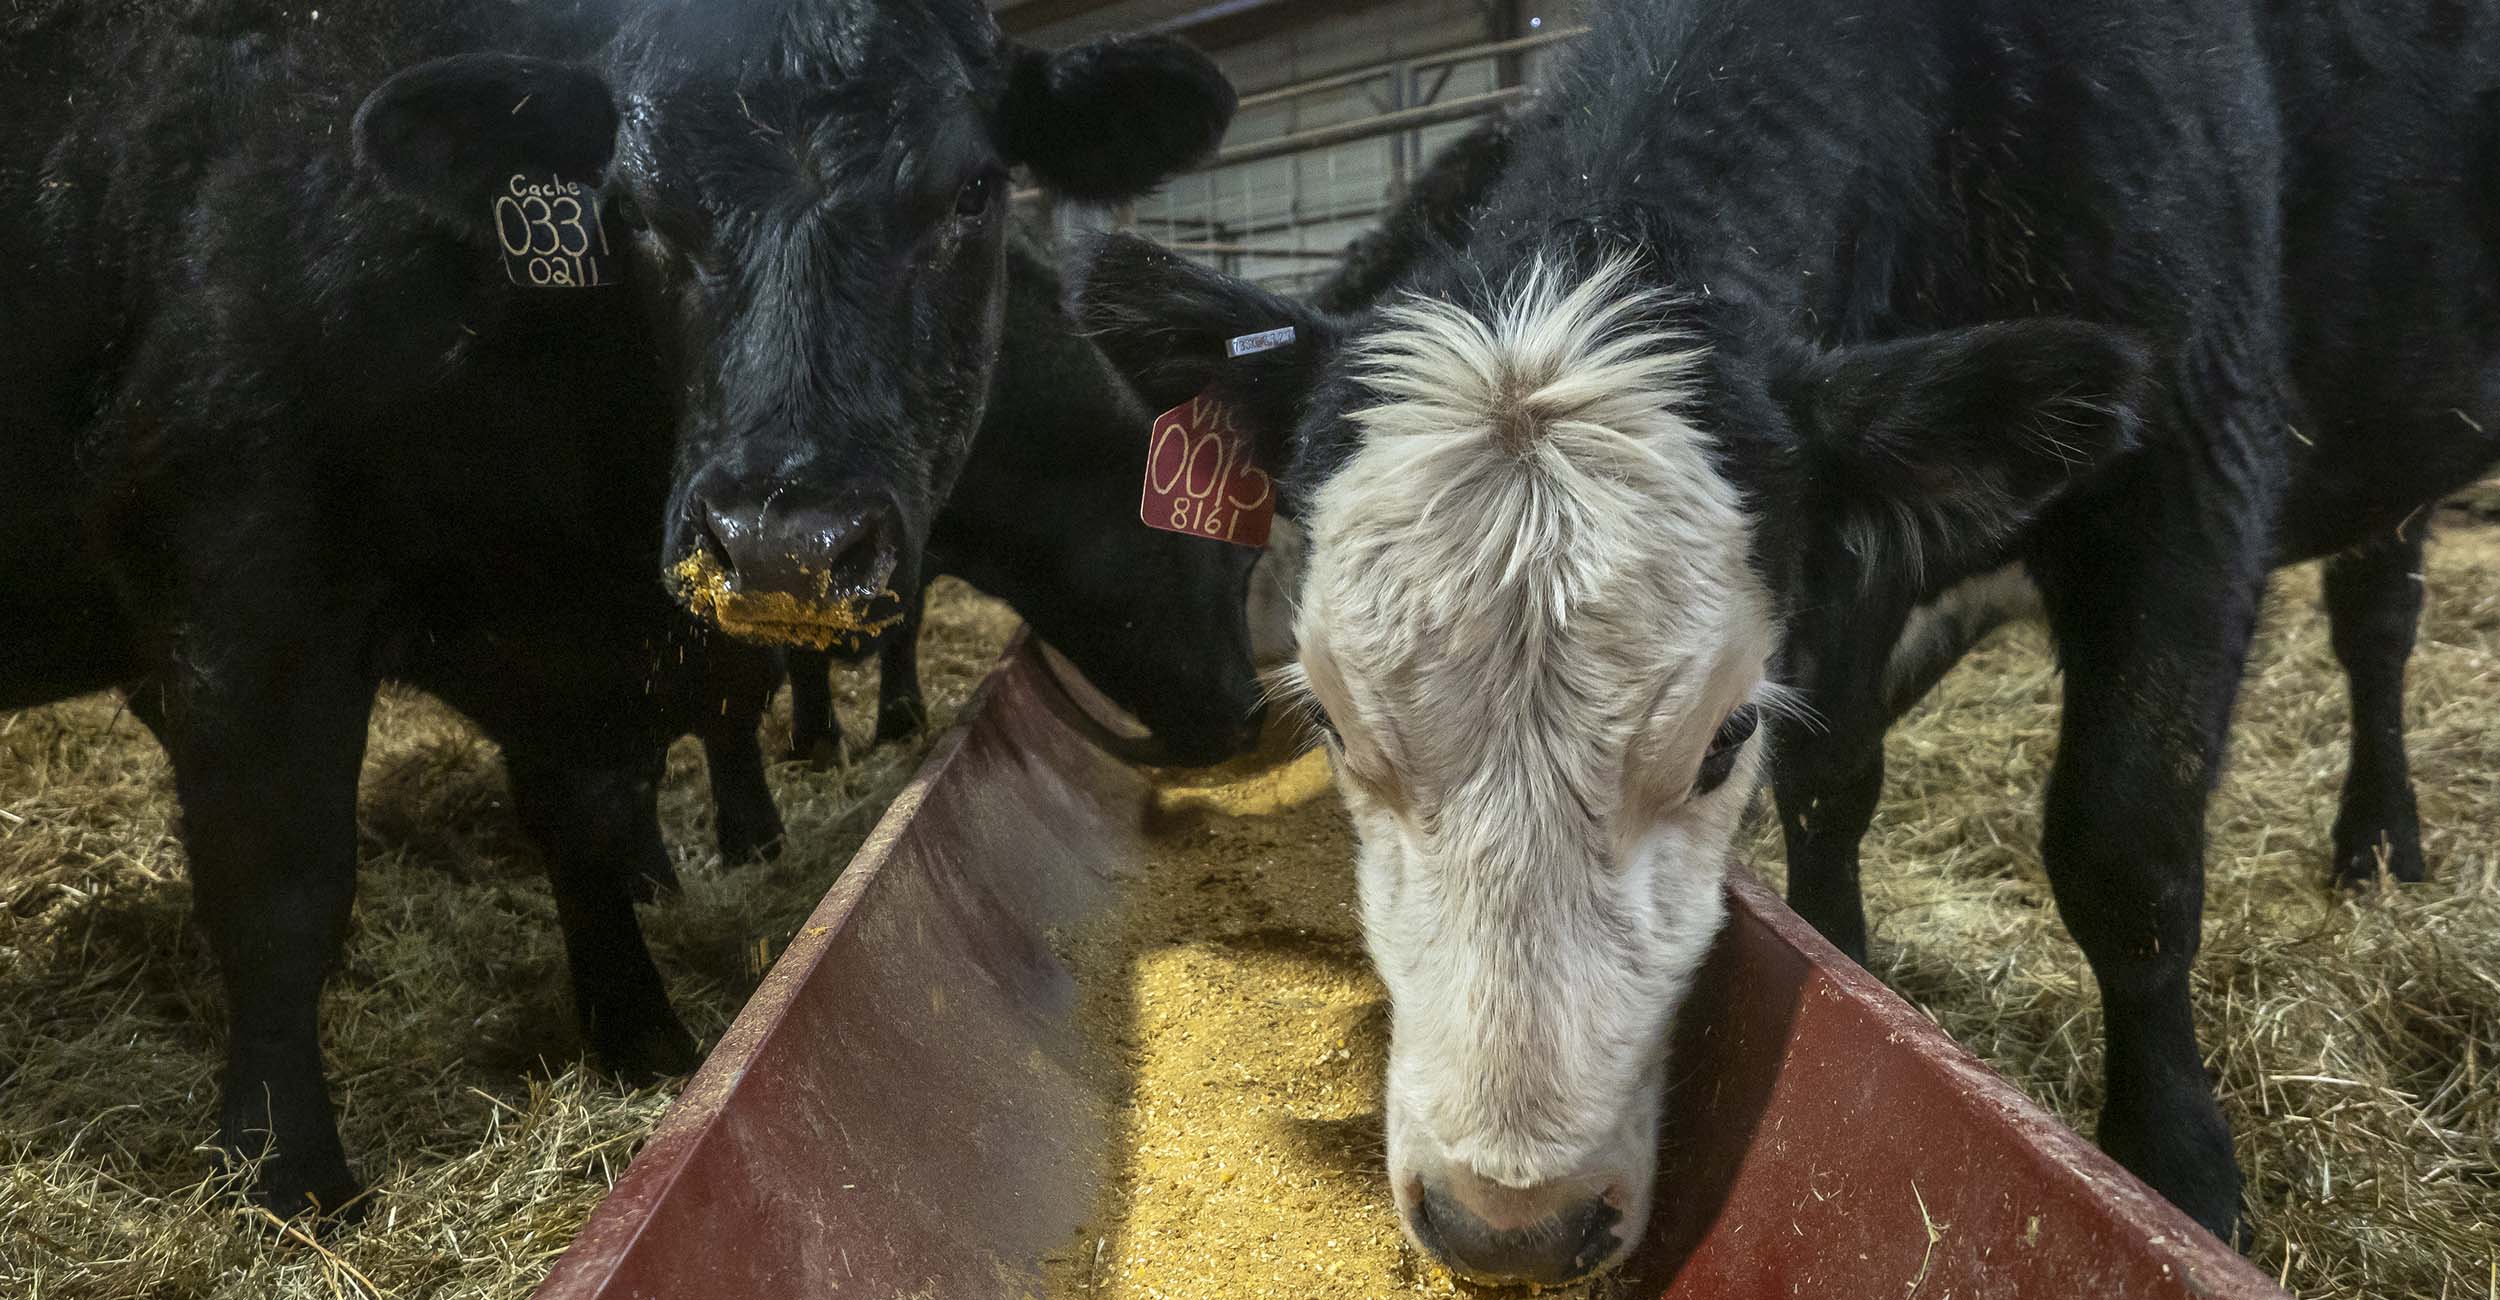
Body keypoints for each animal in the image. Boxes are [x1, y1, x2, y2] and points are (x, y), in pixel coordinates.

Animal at [0, 0, 1231, 1218]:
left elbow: (591, 819)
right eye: (632, 211)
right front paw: (285, 1170)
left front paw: (643, 1033)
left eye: (974, 189)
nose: (783, 540)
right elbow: (279, 885)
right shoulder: (244, 584)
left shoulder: (587, 645)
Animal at [1074, 0, 2500, 1282]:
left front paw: (2178, 1169)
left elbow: (2124, 843)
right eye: (1329, 721)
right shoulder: (1852, 557)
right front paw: (1854, 965)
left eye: (1720, 741)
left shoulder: (2193, 456)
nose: (1506, 1222)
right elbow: (1833, 783)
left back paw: (2378, 839)